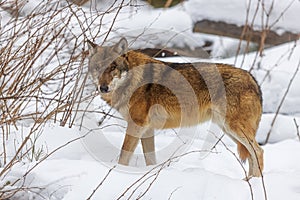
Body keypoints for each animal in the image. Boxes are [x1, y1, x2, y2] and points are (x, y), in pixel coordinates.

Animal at [87, 38, 264, 178]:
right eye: (97, 68)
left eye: (113, 67)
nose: (103, 88)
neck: (133, 80)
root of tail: (252, 78)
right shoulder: (147, 129)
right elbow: (150, 160)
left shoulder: (136, 125)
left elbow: (124, 156)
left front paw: (118, 172)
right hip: (228, 129)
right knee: (251, 155)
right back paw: (248, 182)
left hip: (233, 128)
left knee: (258, 152)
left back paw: (253, 182)